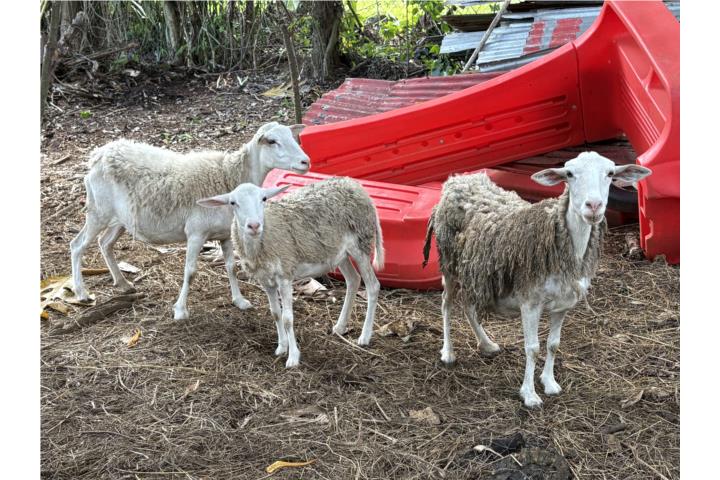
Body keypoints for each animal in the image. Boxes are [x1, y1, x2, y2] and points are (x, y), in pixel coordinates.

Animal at [70, 122, 310, 320]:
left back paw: (123, 283)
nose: (305, 162)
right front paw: (180, 310)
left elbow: (231, 267)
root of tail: (99, 154)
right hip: (98, 211)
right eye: (272, 141)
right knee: (77, 245)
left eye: (292, 136)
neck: (228, 175)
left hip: (121, 219)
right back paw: (82, 293)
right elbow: (191, 271)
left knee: (105, 243)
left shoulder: (225, 234)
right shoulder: (196, 233)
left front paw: (239, 301)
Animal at [197, 177, 384, 368]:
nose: (254, 225)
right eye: (233, 203)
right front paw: (282, 346)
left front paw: (293, 357)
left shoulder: (284, 275)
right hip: (340, 254)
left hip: (360, 243)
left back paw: (364, 336)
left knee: (373, 286)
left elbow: (287, 318)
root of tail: (355, 186)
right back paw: (340, 327)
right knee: (353, 280)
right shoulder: (265, 279)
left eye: (264, 198)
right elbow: (275, 313)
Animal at [422, 152, 652, 408]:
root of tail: (457, 180)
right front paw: (529, 394)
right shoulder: (530, 302)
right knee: (447, 303)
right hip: (448, 262)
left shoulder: (563, 304)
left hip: (475, 271)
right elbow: (532, 348)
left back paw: (487, 344)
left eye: (611, 173)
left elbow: (553, 344)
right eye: (569, 174)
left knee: (468, 305)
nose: (593, 206)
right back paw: (448, 352)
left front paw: (549, 383)